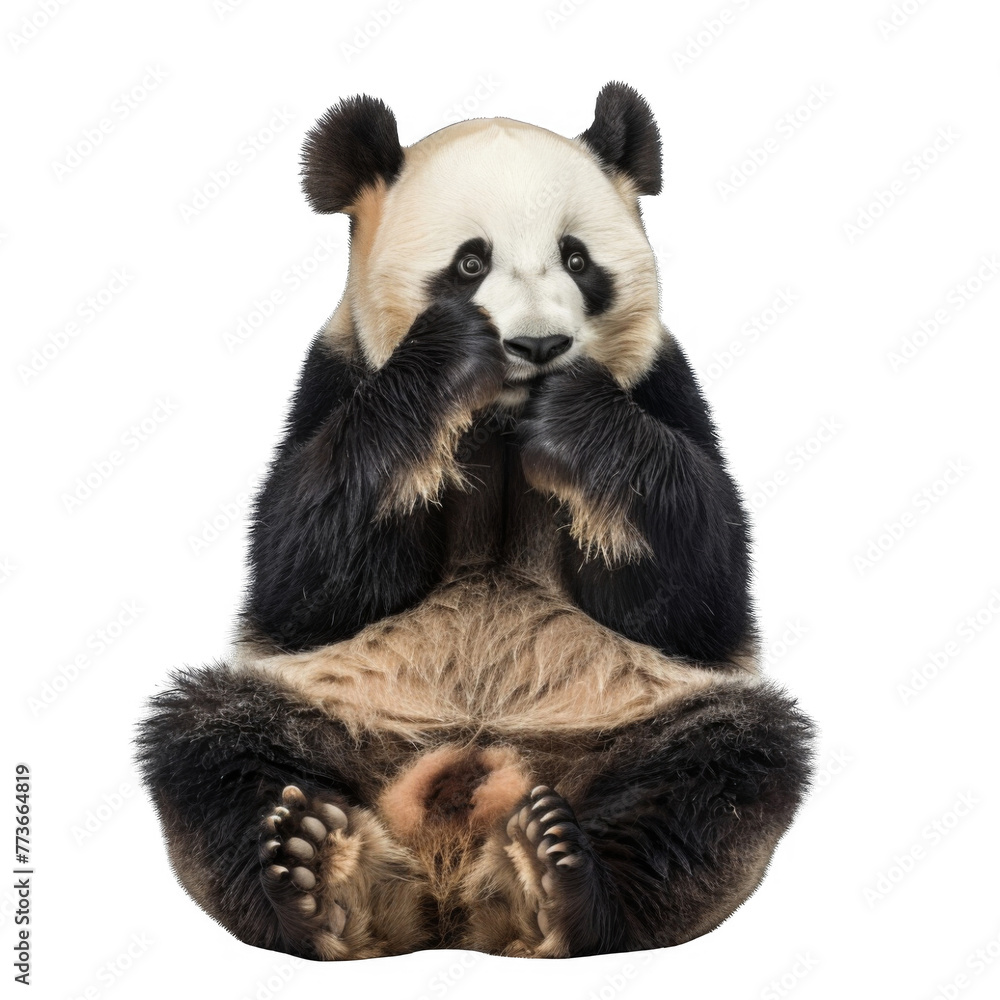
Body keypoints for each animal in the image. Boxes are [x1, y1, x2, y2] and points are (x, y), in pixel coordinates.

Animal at [137, 82, 815, 961]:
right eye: (470, 263)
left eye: (576, 258)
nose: (540, 345)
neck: (499, 424)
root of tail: (450, 883)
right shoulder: (339, 375)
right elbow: (306, 571)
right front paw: (451, 359)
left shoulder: (662, 383)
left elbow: (697, 590)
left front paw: (573, 416)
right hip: (333, 713)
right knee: (212, 741)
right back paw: (314, 877)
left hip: (632, 717)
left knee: (728, 761)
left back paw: (566, 882)